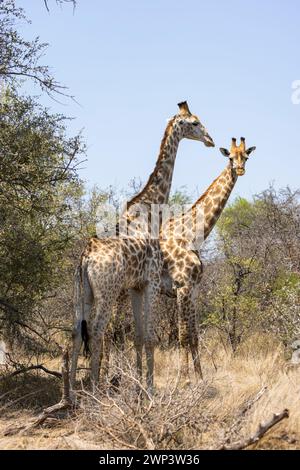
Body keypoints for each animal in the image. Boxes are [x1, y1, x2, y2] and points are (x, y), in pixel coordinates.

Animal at [71, 103, 216, 392]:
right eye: (195, 123)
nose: (210, 140)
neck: (149, 209)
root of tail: (86, 258)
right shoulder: (151, 282)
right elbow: (150, 337)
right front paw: (149, 389)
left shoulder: (136, 287)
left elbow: (139, 337)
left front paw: (139, 386)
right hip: (107, 292)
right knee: (97, 331)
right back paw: (95, 389)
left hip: (84, 293)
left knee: (76, 335)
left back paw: (69, 393)